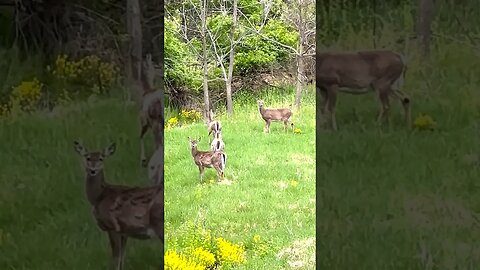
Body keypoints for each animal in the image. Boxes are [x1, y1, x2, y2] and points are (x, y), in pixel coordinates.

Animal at [72, 140, 163, 270]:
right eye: (87, 157)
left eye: (101, 158)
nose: (93, 169)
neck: (99, 196)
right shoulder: (124, 232)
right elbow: (121, 259)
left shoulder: (112, 227)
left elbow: (116, 259)